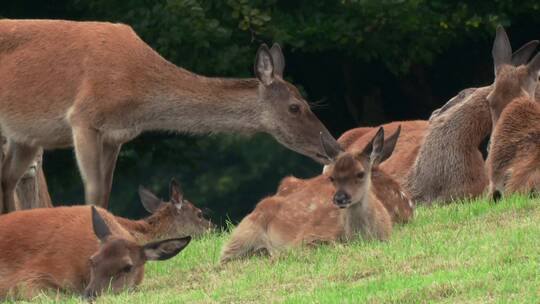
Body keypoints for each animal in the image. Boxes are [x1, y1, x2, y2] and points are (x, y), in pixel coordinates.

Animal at [0, 19, 338, 213]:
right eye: (295, 107)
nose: (333, 147)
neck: (138, 96)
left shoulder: (115, 136)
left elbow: (105, 192)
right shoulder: (83, 117)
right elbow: (93, 191)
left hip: (24, 136)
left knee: (7, 178)